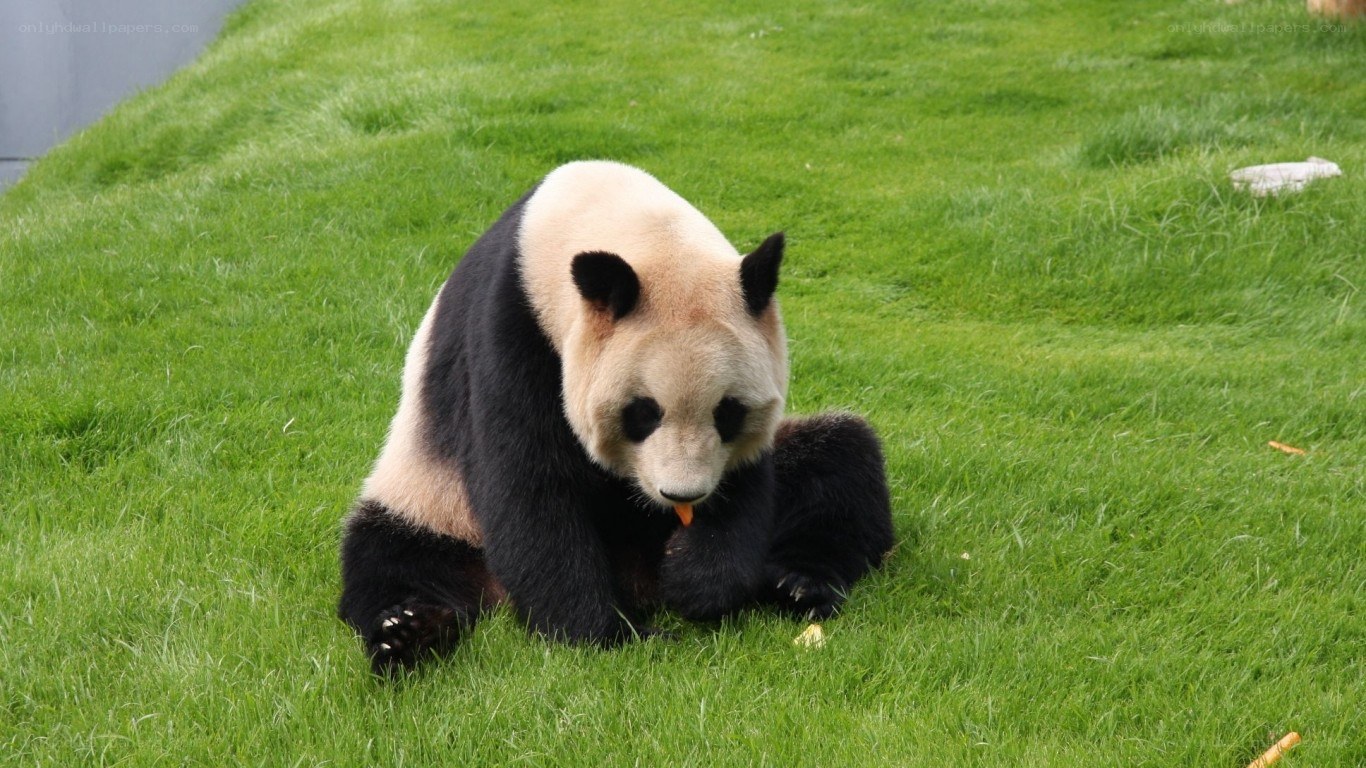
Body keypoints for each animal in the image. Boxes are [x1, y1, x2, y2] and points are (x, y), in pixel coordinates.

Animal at [339, 161, 894, 674]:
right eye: (642, 413)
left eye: (728, 413)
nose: (682, 496)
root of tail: (638, 581)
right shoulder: (510, 332)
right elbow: (529, 484)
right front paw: (607, 634)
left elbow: (744, 483)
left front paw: (697, 580)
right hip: (434, 498)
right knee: (395, 557)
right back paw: (407, 632)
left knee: (841, 462)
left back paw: (798, 583)